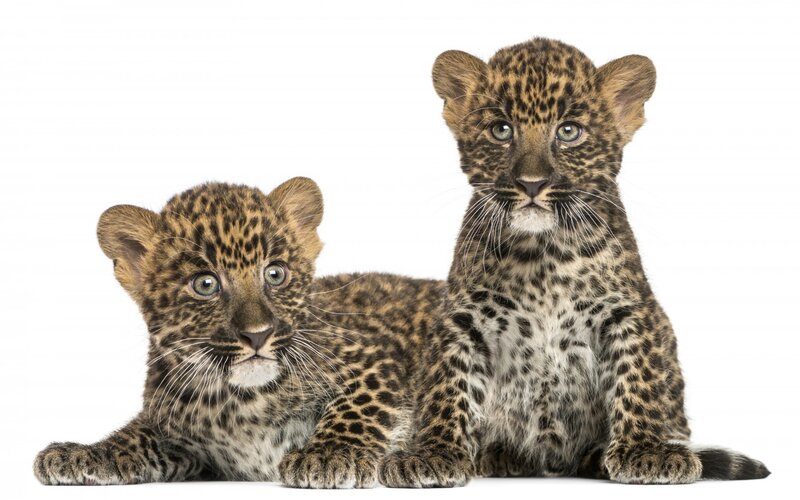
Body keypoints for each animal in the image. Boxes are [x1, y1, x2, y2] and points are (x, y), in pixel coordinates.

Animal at [33, 177, 445, 488]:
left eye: (275, 273)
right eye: (205, 284)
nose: (258, 335)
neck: (239, 403)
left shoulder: (374, 356)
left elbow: (357, 405)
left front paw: (329, 454)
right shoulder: (173, 428)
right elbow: (133, 436)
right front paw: (81, 452)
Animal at [379, 38, 770, 486]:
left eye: (568, 132)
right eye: (501, 130)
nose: (532, 184)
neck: (543, 254)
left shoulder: (629, 310)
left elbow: (638, 374)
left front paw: (646, 450)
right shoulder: (463, 317)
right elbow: (448, 381)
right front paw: (431, 452)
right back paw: (498, 454)